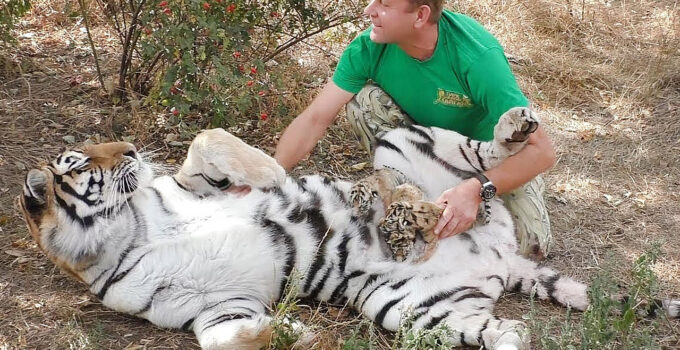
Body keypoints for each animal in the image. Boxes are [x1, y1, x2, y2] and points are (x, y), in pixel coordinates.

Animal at [18, 107, 676, 350]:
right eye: (81, 161)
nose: (129, 146)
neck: (127, 231)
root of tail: (500, 259)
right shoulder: (213, 306)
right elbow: (225, 338)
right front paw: (292, 332)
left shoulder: (194, 185)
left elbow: (211, 144)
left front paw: (274, 175)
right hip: (417, 310)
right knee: (506, 333)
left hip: (403, 141)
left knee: (482, 161)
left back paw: (509, 130)